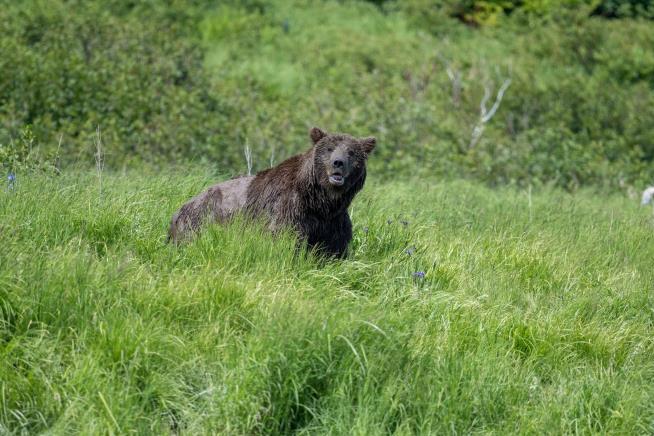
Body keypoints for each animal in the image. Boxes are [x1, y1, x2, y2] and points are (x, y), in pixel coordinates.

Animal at [167, 126, 376, 258]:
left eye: (351, 152)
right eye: (329, 149)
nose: (337, 163)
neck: (320, 201)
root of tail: (177, 211)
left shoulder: (333, 222)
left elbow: (334, 248)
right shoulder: (288, 209)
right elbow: (286, 240)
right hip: (204, 217)